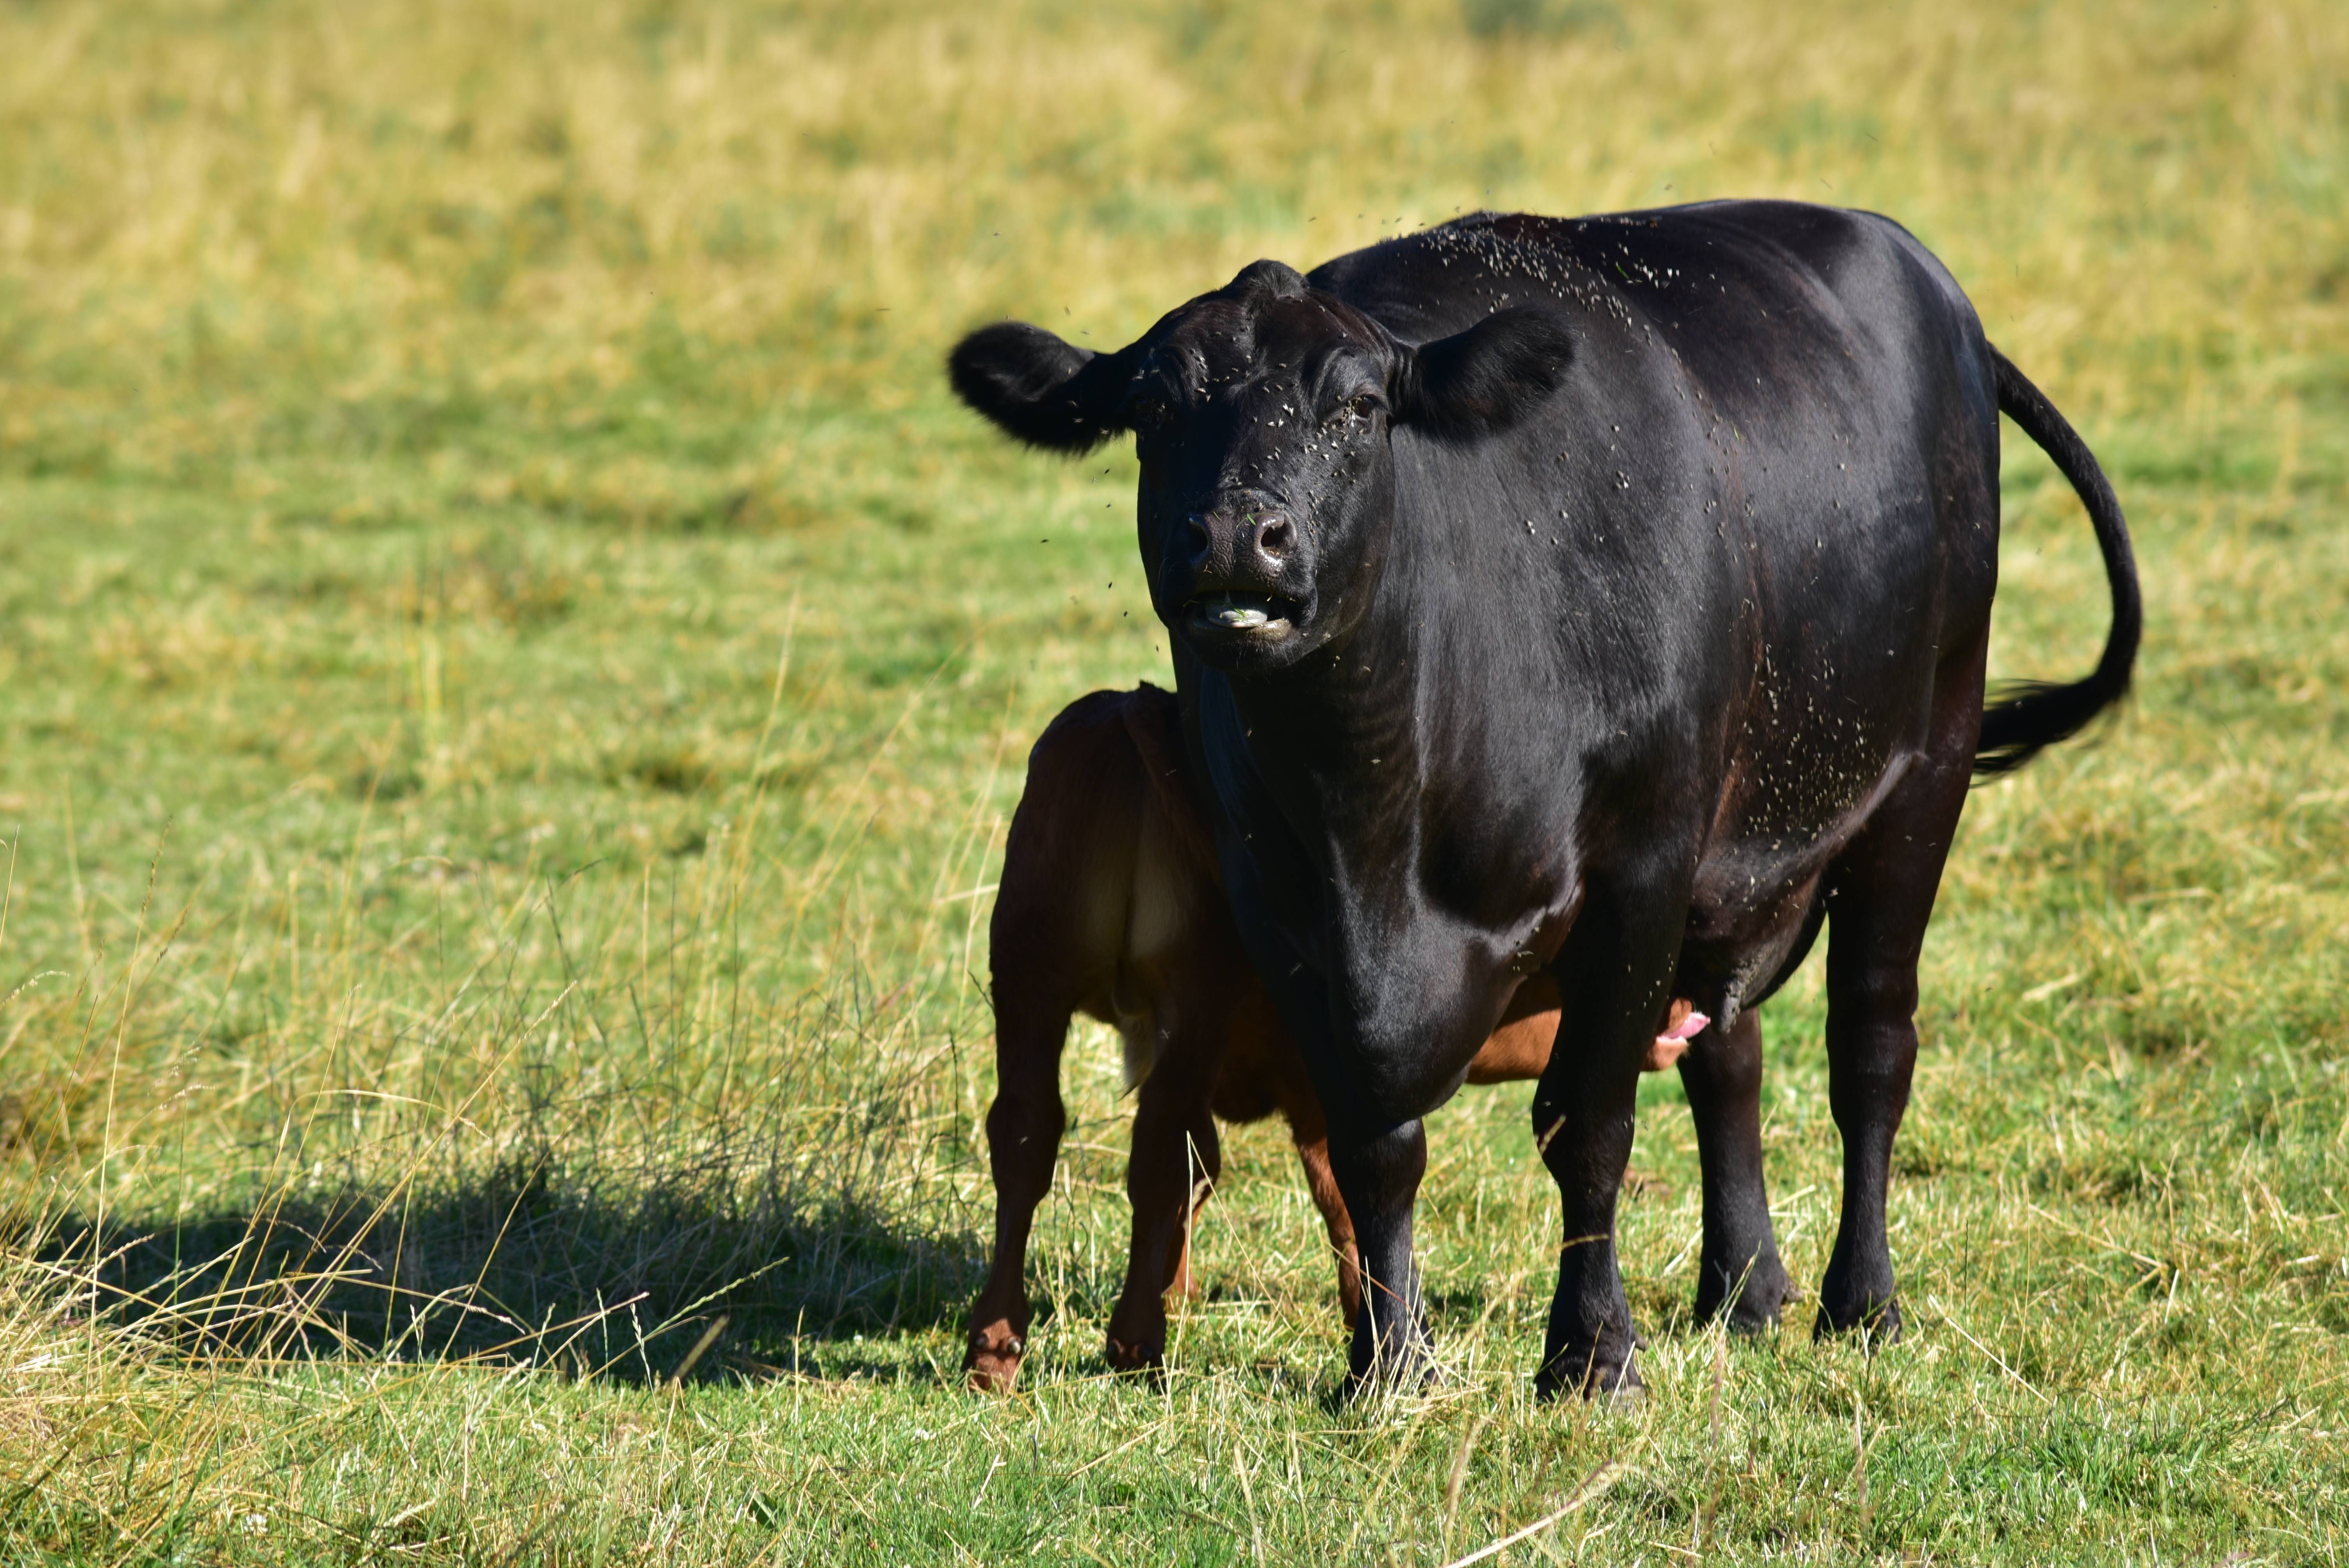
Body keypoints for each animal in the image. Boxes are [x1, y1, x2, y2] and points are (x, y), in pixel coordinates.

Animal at [963, 685, 1700, 1399]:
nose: (1682, 1001)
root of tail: (1119, 712)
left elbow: (1216, 1179)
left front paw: (1185, 1287)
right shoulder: (1315, 1084)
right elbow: (1339, 1196)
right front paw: (1373, 1326)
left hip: (1029, 971)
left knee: (1027, 1134)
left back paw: (995, 1349)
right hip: (1185, 1003)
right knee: (1158, 1150)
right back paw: (1134, 1344)